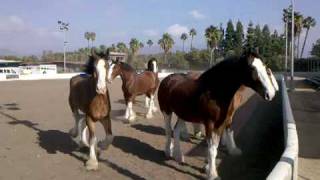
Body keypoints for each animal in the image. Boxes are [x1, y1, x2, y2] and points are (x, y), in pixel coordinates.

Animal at [158, 51, 278, 179]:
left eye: (265, 67)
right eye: (252, 68)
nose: (270, 94)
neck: (215, 91)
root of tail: (167, 79)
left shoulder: (221, 123)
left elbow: (215, 147)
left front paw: (208, 168)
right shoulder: (209, 124)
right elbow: (211, 148)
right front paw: (212, 174)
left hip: (183, 114)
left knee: (175, 131)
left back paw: (179, 157)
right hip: (167, 112)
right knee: (168, 131)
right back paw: (168, 152)